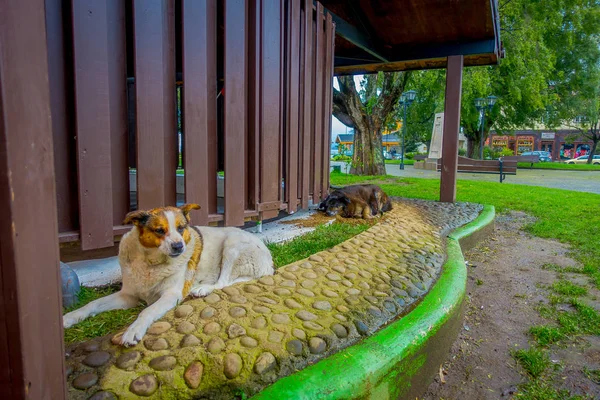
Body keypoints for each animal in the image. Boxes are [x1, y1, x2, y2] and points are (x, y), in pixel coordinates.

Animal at [63, 205, 274, 346]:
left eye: (181, 228)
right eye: (159, 230)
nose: (179, 246)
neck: (150, 263)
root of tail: (268, 260)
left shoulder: (170, 295)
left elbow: (146, 311)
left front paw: (133, 330)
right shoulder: (127, 296)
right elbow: (93, 304)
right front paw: (70, 317)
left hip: (232, 245)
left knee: (222, 282)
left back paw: (202, 288)